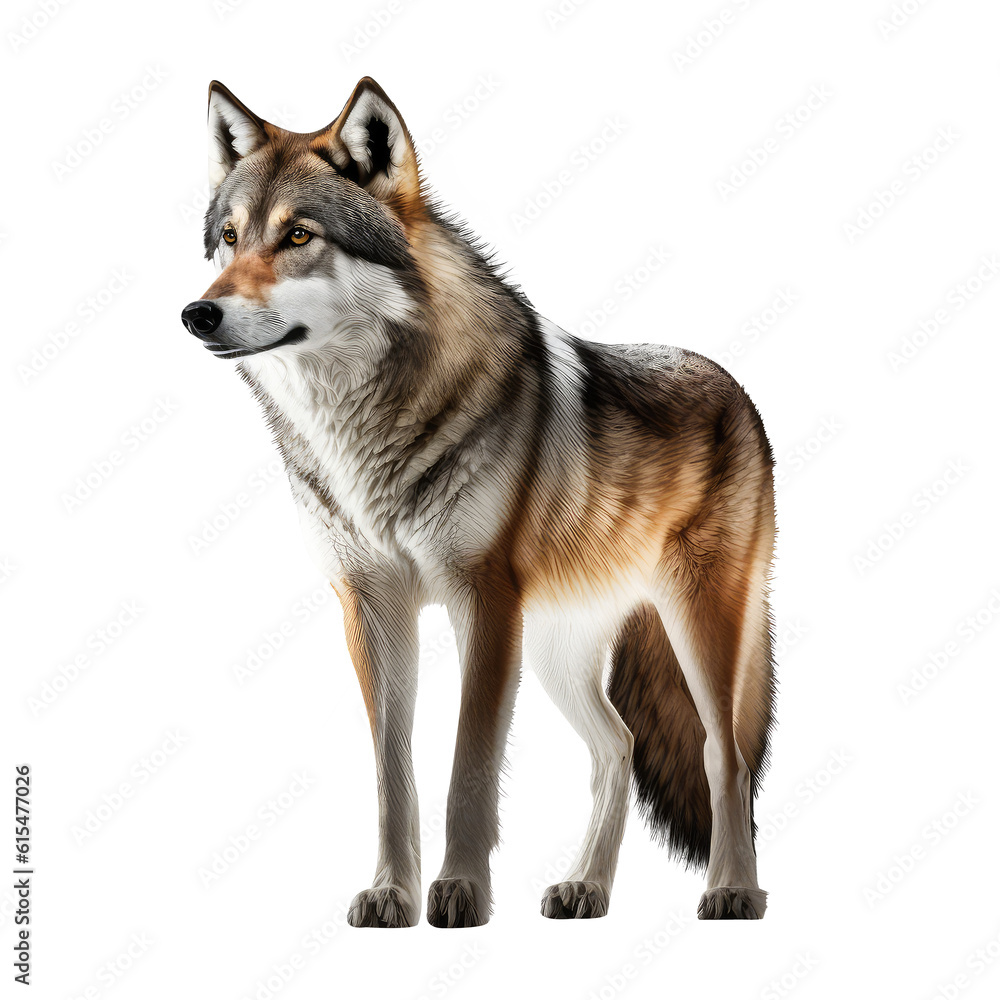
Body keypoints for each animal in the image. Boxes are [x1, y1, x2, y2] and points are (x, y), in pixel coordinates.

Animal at [181, 77, 777, 926]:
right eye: (228, 237)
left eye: (298, 235)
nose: (197, 314)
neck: (360, 431)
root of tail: (733, 384)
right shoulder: (371, 605)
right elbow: (392, 777)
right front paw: (391, 893)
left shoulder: (484, 600)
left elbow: (468, 765)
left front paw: (460, 889)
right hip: (559, 648)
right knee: (619, 749)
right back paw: (586, 887)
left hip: (699, 628)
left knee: (724, 756)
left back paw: (733, 890)